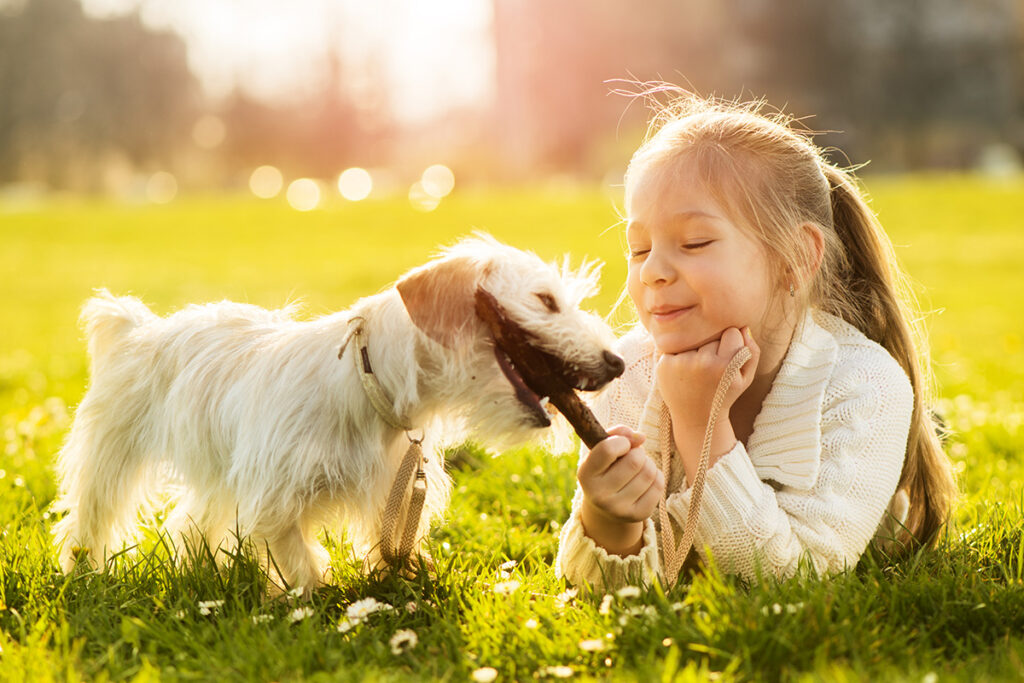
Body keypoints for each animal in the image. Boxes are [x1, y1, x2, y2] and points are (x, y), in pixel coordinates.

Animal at [51, 233, 622, 589]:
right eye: (545, 300)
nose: (616, 362)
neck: (368, 385)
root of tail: (140, 327)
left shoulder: (390, 493)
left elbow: (388, 548)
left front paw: (404, 582)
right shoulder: (275, 498)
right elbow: (298, 559)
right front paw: (315, 598)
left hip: (220, 472)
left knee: (190, 522)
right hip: (110, 458)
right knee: (90, 518)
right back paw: (83, 572)